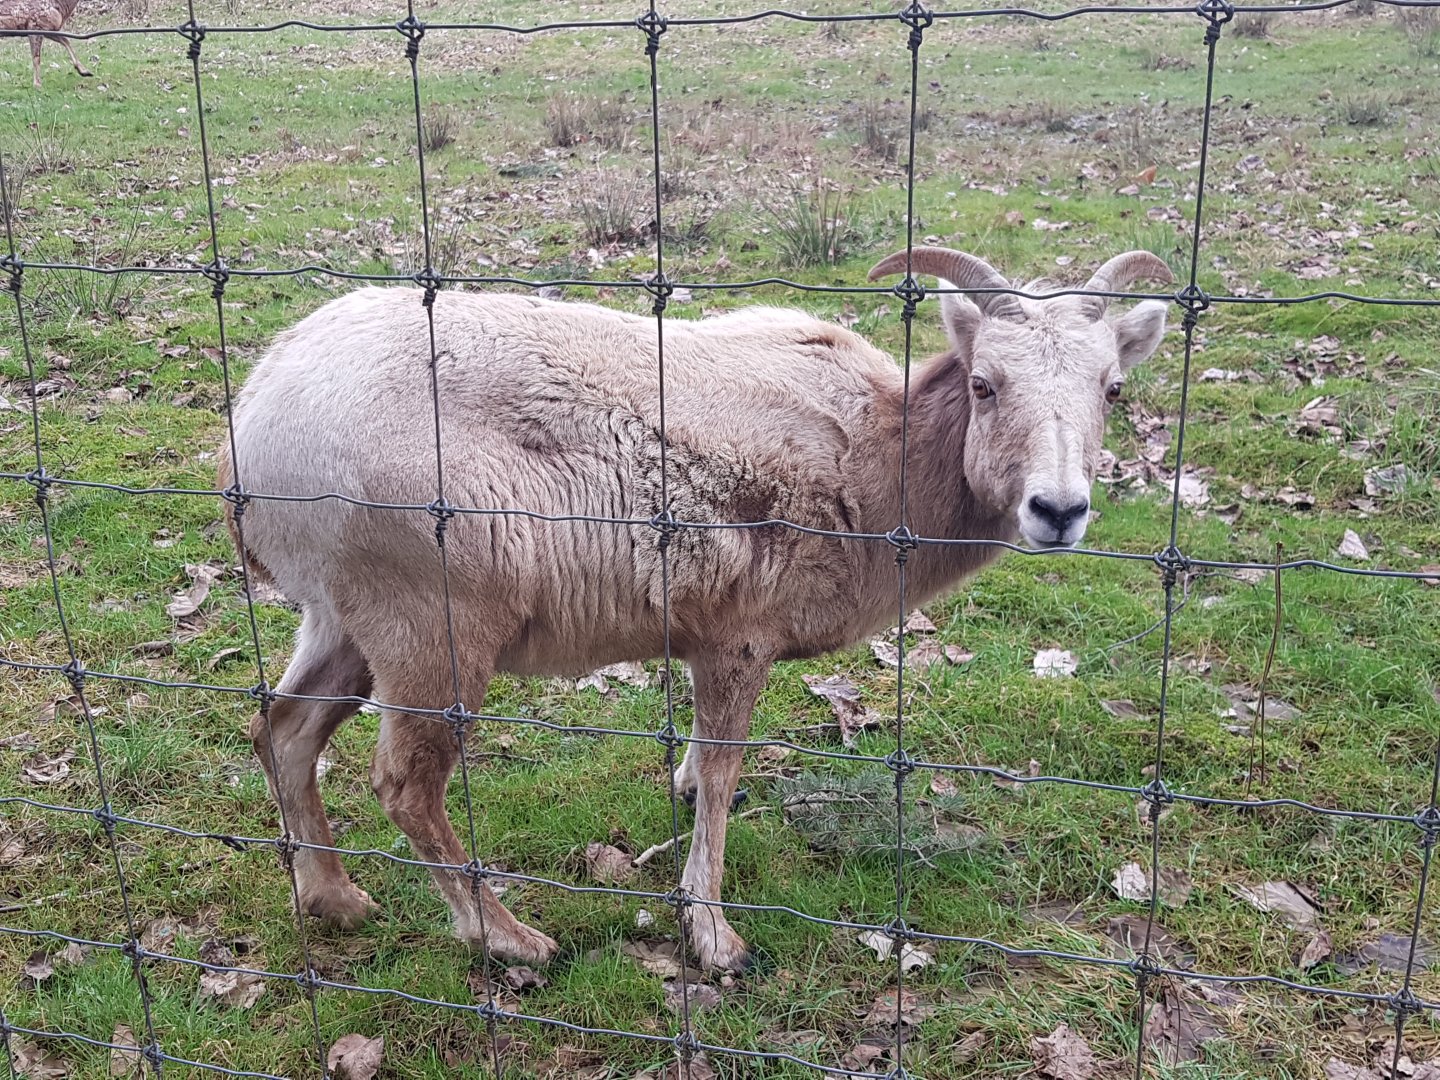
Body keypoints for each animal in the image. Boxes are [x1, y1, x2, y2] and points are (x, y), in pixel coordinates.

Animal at [217, 245, 1173, 973]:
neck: (877, 458)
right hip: (432, 626)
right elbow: (720, 776)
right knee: (404, 785)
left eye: (1112, 389)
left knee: (282, 730)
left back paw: (335, 899)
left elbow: (701, 770)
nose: (1058, 510)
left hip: (343, 620)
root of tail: (252, 426)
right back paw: (511, 939)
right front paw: (715, 939)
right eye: (984, 383)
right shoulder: (738, 641)